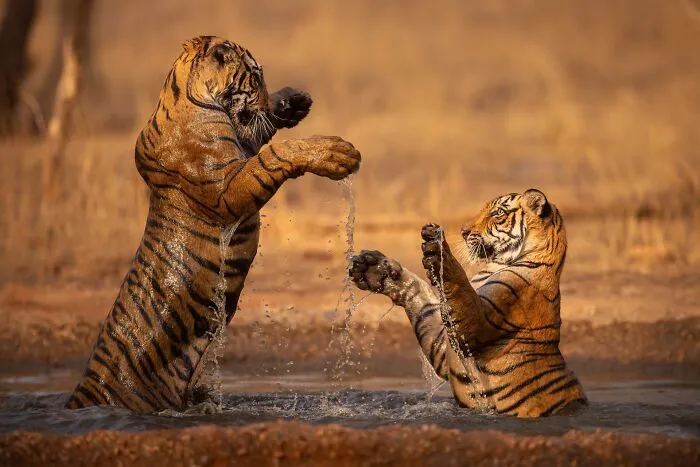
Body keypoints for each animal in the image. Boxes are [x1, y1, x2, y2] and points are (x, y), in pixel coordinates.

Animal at [65, 35, 361, 413]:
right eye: (255, 77)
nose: (275, 97)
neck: (182, 94)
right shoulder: (227, 189)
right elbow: (273, 155)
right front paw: (335, 153)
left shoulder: (242, 146)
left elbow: (261, 132)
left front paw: (293, 101)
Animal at [349, 189, 587, 417]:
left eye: (497, 213)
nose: (463, 231)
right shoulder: (444, 347)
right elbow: (423, 302)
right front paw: (374, 269)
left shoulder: (475, 325)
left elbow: (459, 284)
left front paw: (438, 250)